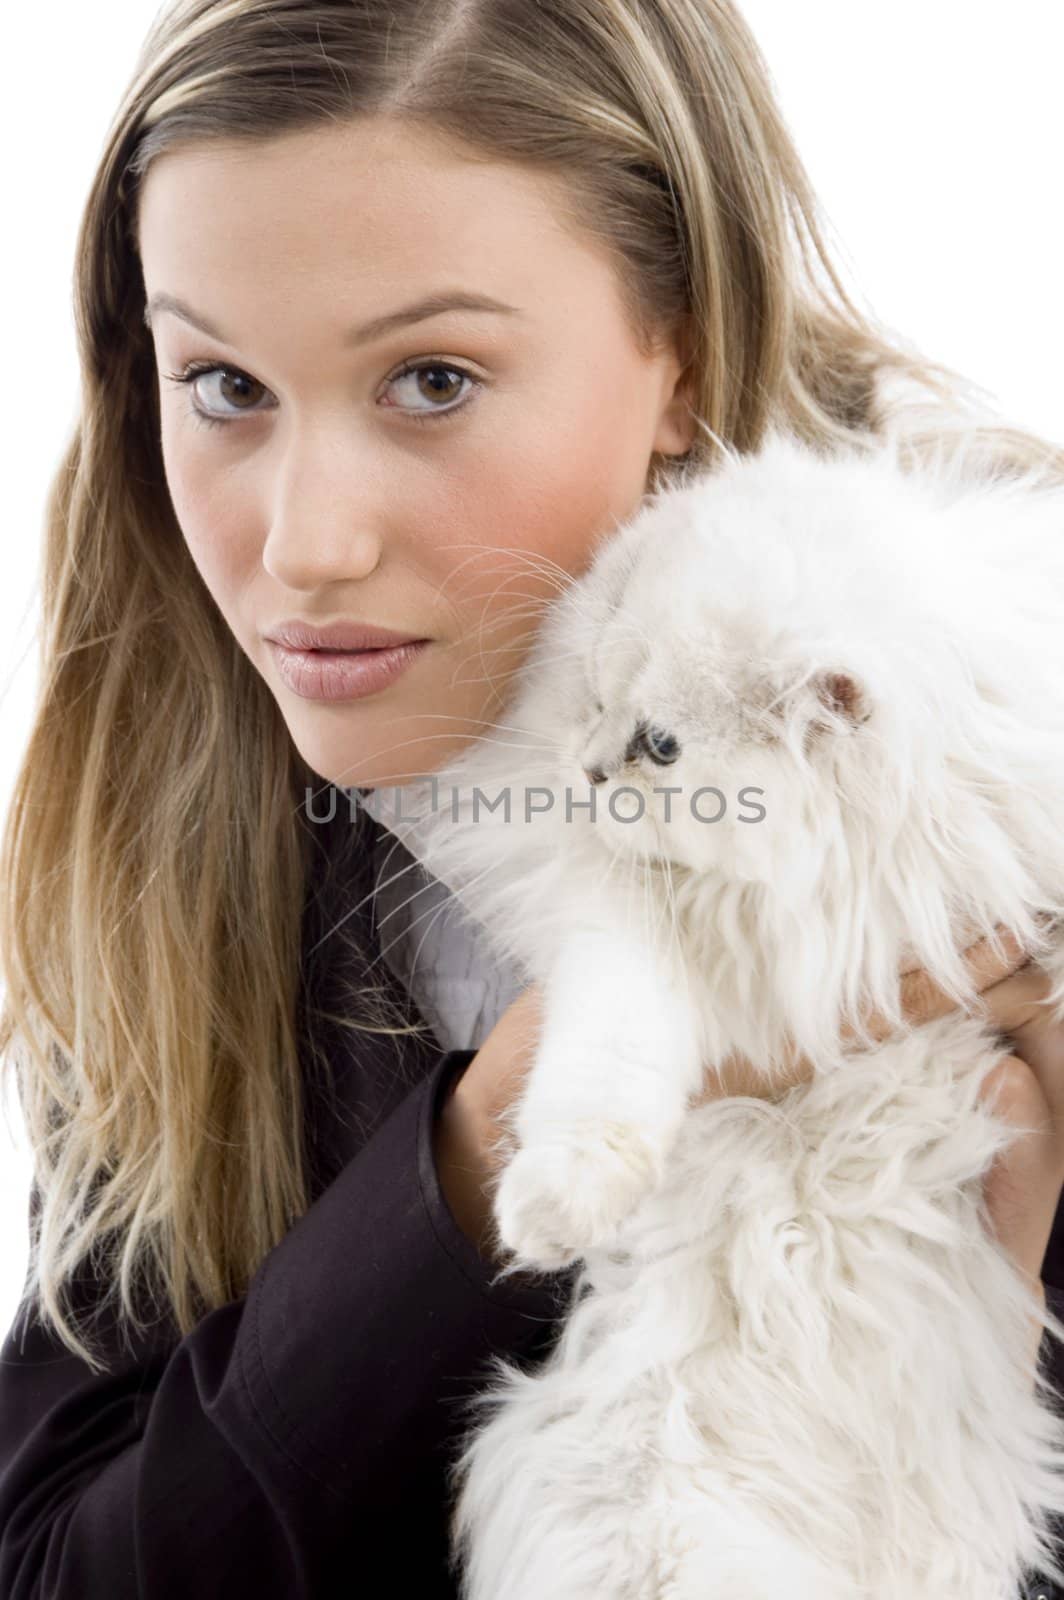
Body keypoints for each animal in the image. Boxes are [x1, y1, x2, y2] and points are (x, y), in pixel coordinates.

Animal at [382, 425, 1064, 1600]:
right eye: (594, 699)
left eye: (661, 748)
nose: (585, 770)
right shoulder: (622, 931)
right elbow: (606, 1066)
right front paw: (554, 1205)